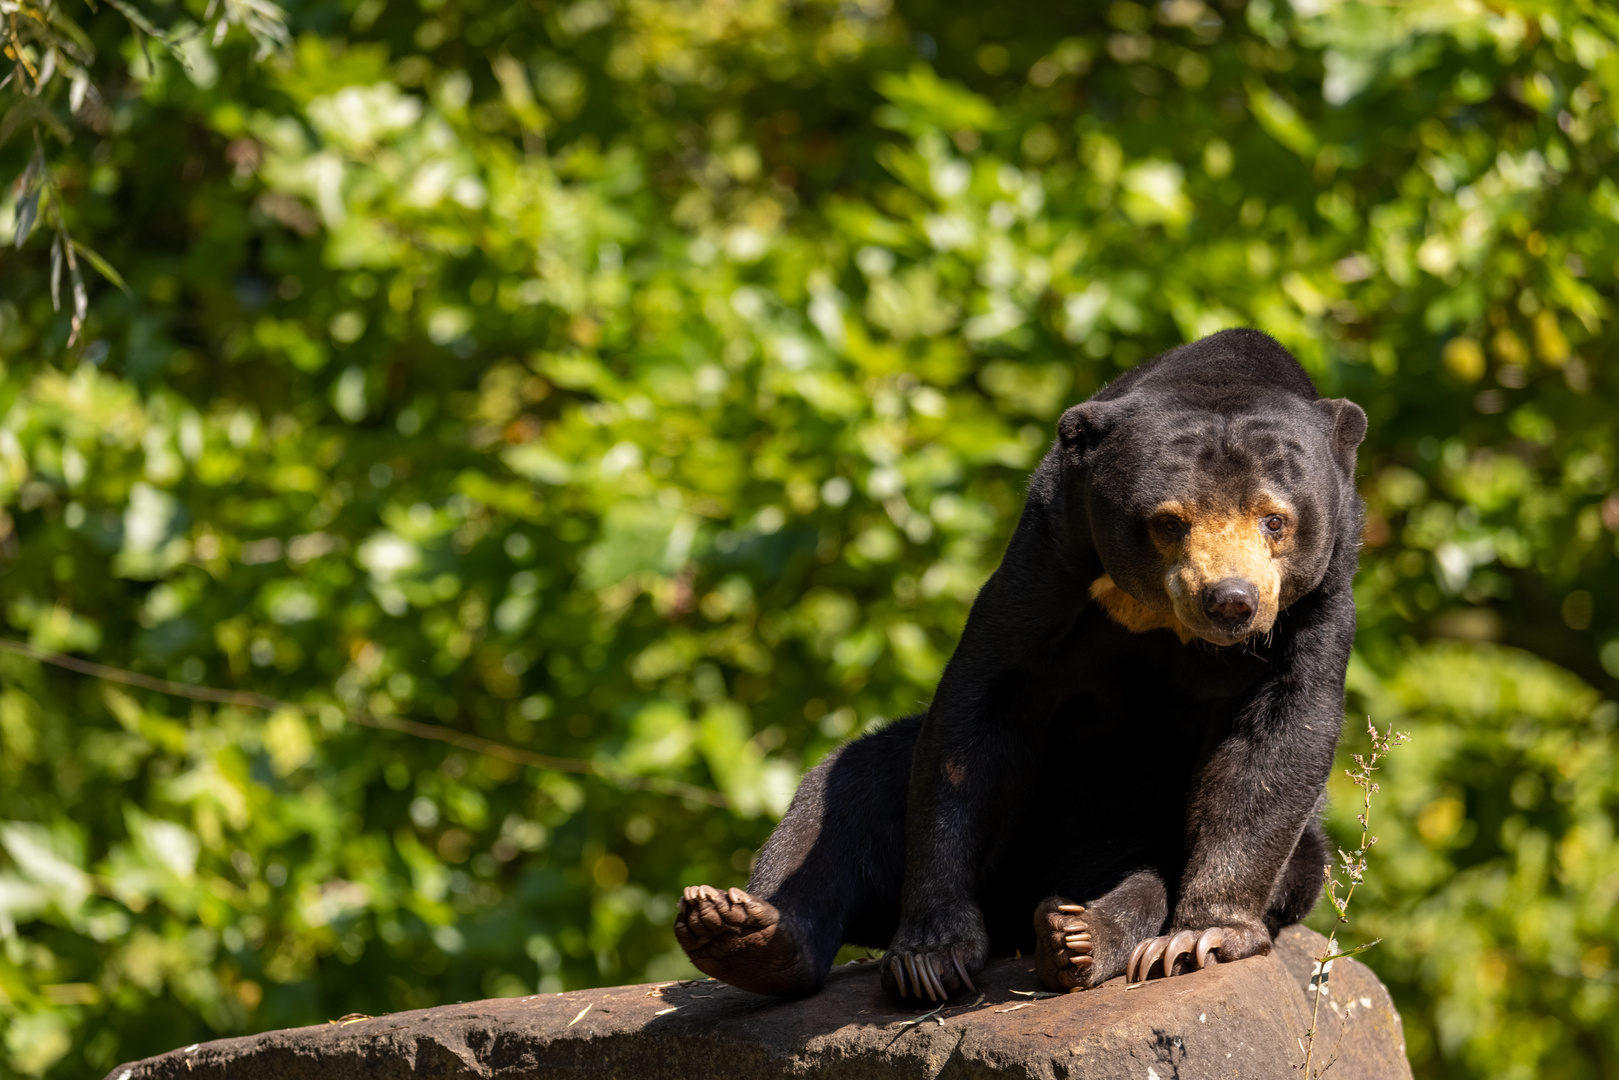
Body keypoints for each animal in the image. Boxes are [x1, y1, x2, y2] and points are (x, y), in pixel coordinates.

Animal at [670, 327, 1366, 997]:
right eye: (1170, 522)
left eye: (1275, 520)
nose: (1230, 601)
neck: (1158, 618)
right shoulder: (1050, 553)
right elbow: (978, 722)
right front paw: (931, 955)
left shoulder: (1318, 600)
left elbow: (1277, 738)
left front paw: (1203, 938)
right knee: (843, 792)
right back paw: (740, 930)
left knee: (1171, 871)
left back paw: (1080, 937)